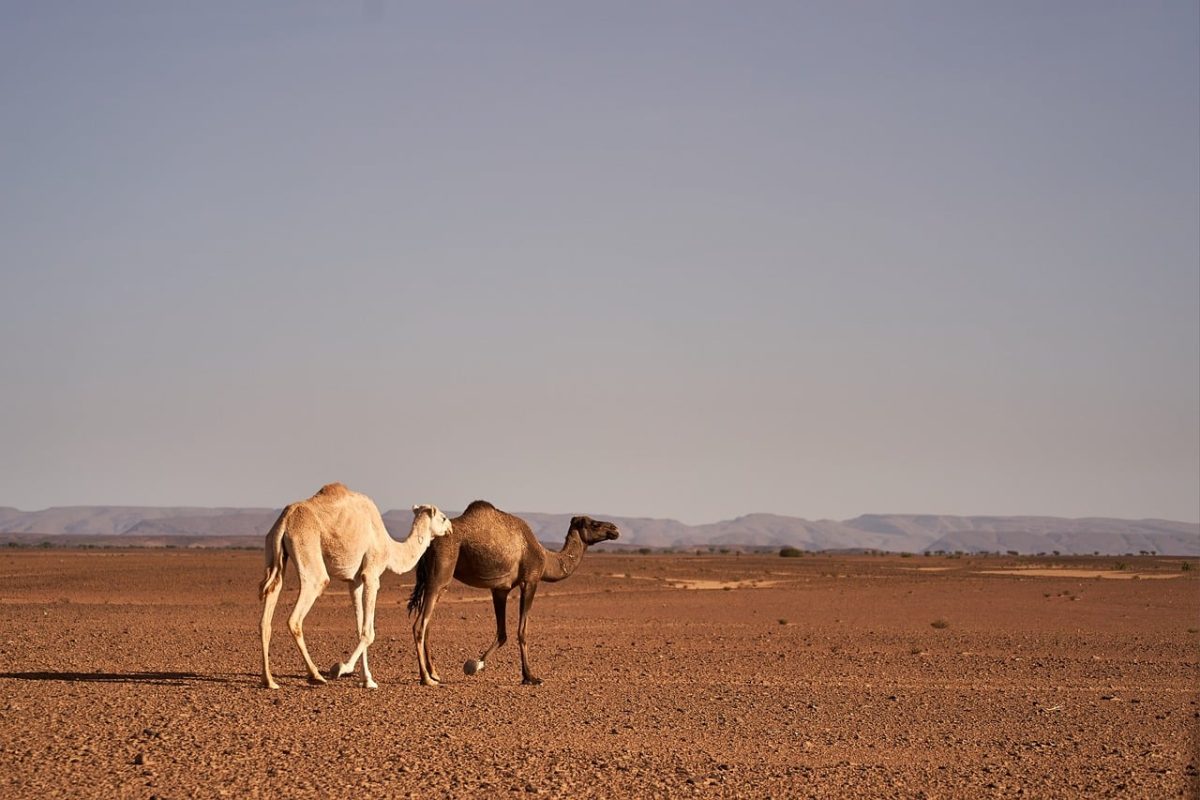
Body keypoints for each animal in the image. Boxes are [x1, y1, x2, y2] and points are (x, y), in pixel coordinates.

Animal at [259, 483, 452, 689]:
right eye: (443, 517)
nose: (450, 528)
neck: (389, 547)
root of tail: (284, 521)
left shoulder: (355, 581)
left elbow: (360, 628)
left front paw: (367, 680)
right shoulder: (371, 575)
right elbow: (369, 633)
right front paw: (342, 668)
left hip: (273, 550)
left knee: (268, 606)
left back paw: (269, 680)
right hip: (307, 550)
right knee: (297, 614)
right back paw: (315, 675)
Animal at [408, 501, 619, 686]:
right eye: (594, 523)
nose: (615, 529)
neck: (546, 559)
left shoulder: (500, 589)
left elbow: (502, 633)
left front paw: (475, 665)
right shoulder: (530, 580)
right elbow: (522, 631)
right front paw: (530, 677)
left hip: (434, 581)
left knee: (428, 624)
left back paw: (435, 674)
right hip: (439, 575)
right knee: (419, 625)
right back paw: (426, 678)